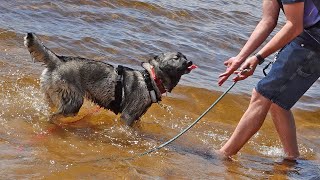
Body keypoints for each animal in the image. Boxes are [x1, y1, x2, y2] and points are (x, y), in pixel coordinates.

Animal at [23, 32, 196, 125]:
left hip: (53, 96)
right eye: (176, 58)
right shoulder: (128, 116)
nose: (190, 62)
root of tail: (58, 60)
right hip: (73, 103)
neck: (151, 79)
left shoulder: (136, 117)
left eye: (185, 57)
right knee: (54, 116)